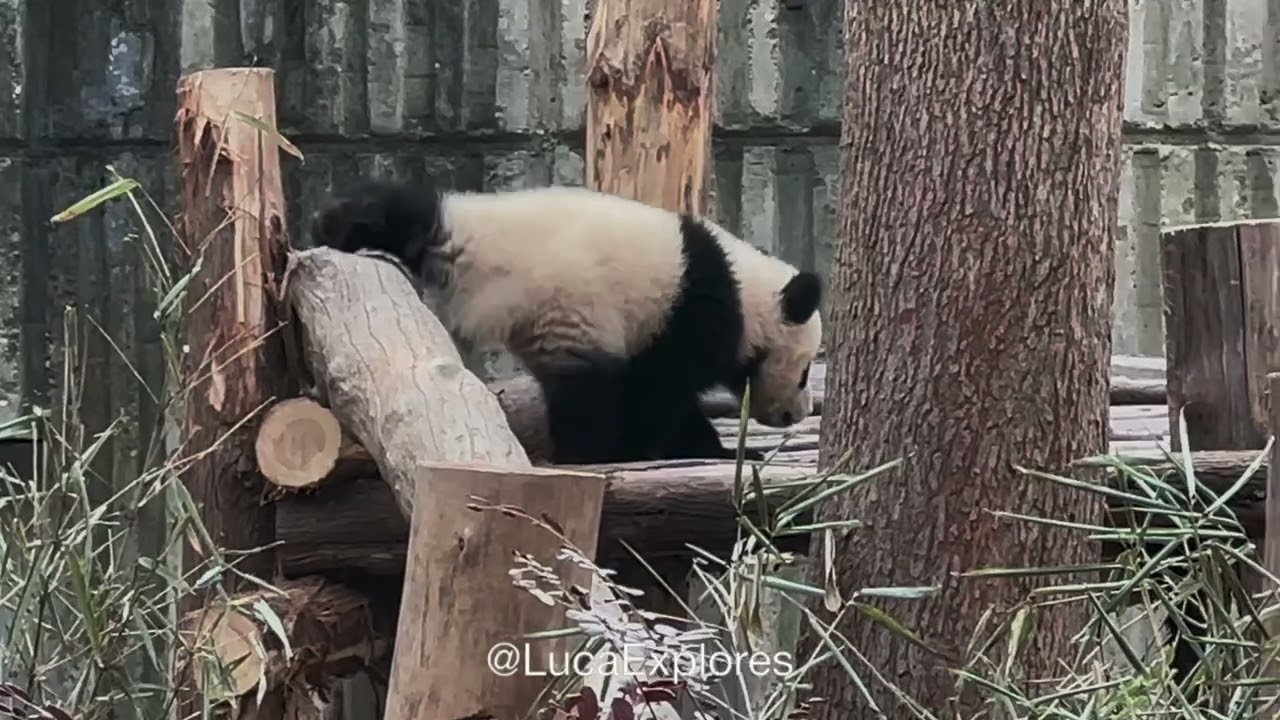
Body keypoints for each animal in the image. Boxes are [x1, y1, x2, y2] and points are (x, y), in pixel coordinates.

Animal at [310, 177, 823, 466]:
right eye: (802, 373)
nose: (796, 414)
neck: (747, 292)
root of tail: (462, 249)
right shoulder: (690, 312)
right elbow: (658, 390)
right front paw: (645, 448)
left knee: (407, 210)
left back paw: (334, 223)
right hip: (568, 310)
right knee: (585, 392)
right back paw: (587, 453)